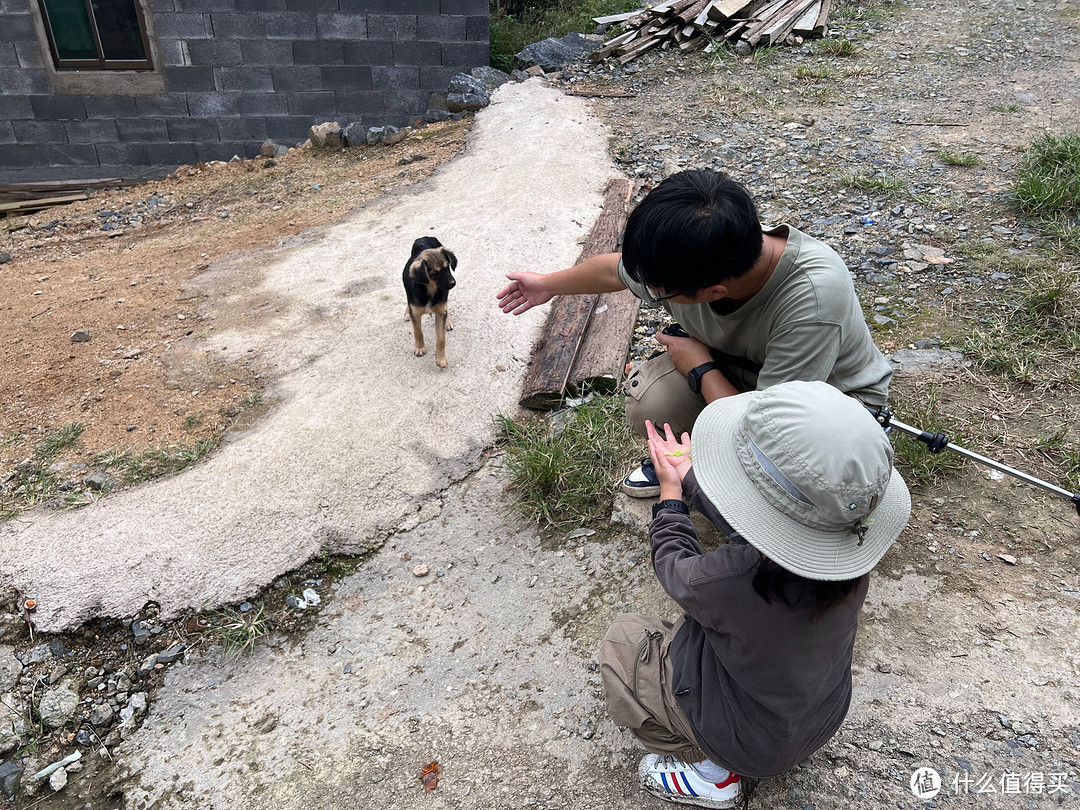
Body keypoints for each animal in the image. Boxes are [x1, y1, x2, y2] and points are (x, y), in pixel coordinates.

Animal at [403, 236, 457, 369]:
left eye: (447, 267)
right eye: (434, 273)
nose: (453, 283)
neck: (430, 289)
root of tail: (424, 237)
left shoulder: (440, 311)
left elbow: (441, 339)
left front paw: (441, 358)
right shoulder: (415, 313)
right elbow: (418, 332)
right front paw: (419, 348)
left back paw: (447, 321)